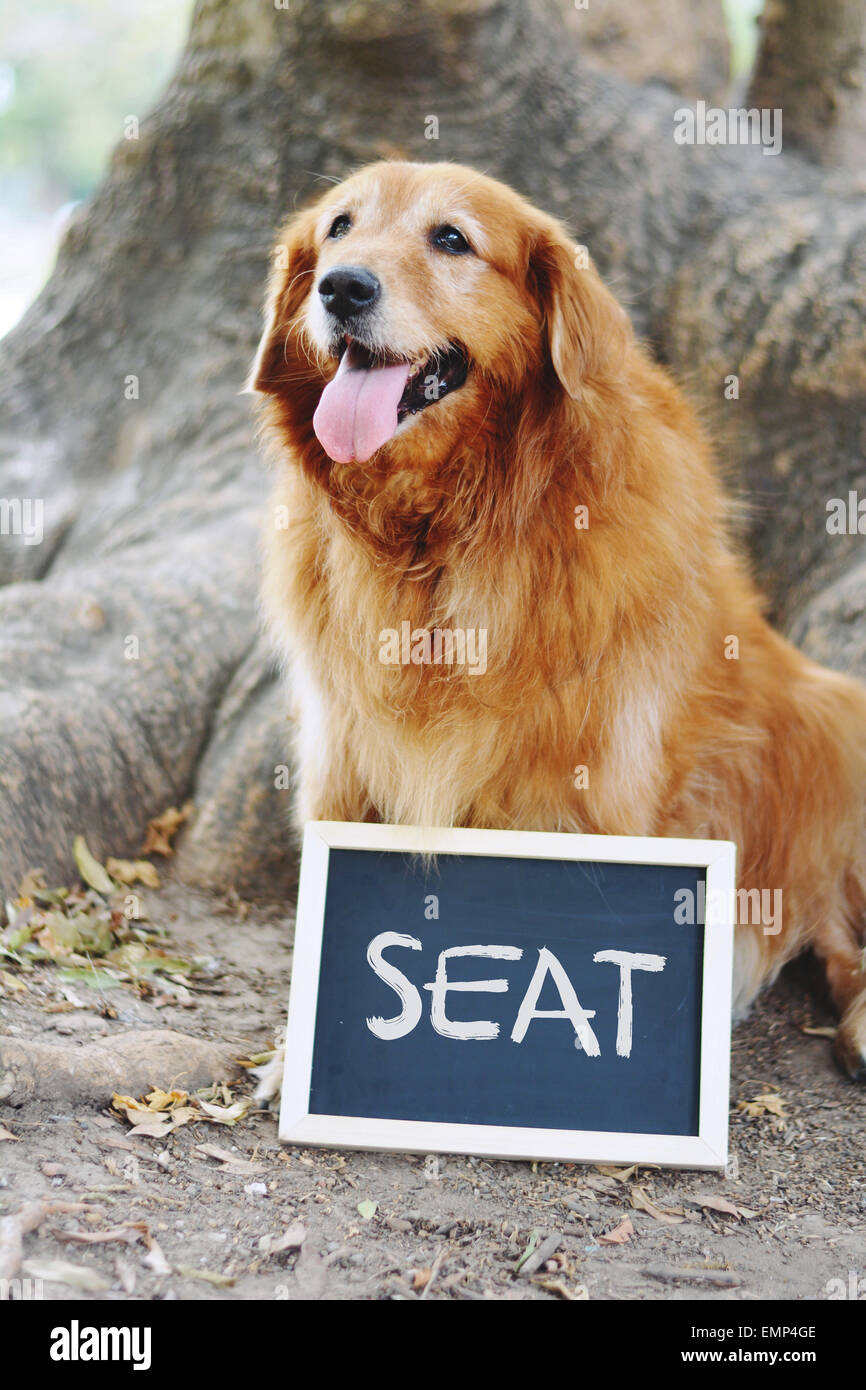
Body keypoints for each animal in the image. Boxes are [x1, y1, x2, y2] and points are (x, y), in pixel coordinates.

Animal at [250, 159, 866, 1073]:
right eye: (338, 228)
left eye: (452, 238)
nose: (343, 287)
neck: (445, 536)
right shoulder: (342, 755)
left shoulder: (598, 783)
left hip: (833, 724)